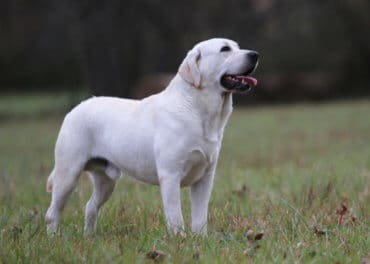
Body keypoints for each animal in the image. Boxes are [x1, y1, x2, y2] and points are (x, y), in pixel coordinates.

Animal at [44, 37, 258, 235]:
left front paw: (200, 240)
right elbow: (176, 217)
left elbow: (200, 217)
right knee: (52, 213)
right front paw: (180, 240)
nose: (255, 54)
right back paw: (55, 239)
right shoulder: (170, 175)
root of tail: (74, 109)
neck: (199, 112)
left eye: (237, 47)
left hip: (106, 181)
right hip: (68, 173)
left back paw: (89, 237)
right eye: (225, 49)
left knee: (89, 207)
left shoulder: (205, 177)